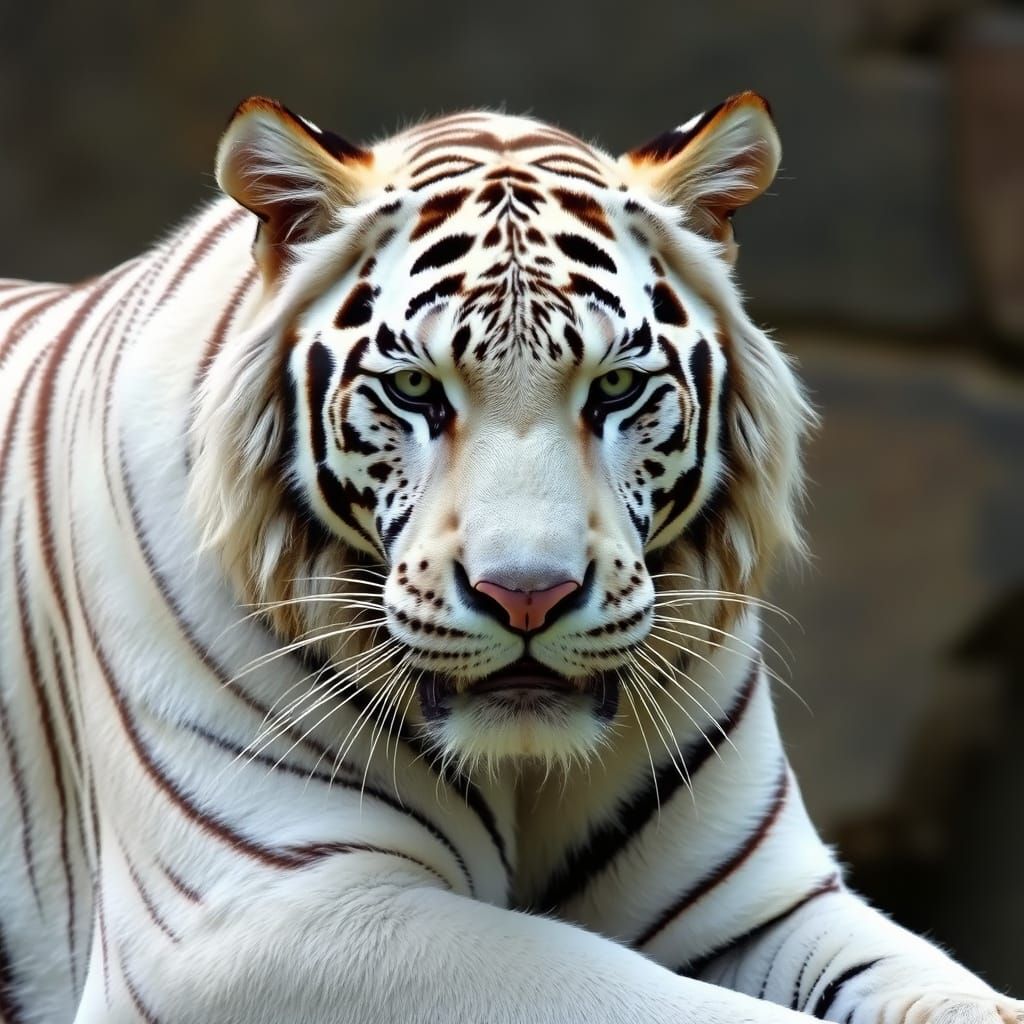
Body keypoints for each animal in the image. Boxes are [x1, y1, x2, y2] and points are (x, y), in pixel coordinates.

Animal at [0, 90, 1019, 1024]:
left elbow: (945, 991)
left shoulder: (760, 901)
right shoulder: (260, 916)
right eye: (415, 389)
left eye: (616, 387)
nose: (527, 595)